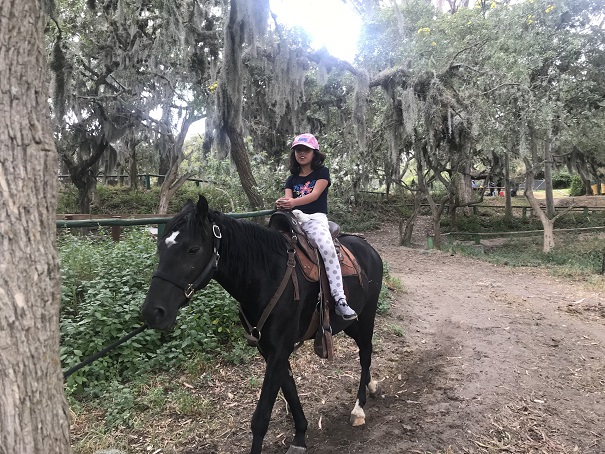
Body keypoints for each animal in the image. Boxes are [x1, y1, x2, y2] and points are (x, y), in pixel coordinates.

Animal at [141, 196, 383, 454]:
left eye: (193, 249)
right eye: (161, 248)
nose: (152, 312)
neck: (267, 276)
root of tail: (368, 248)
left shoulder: (279, 349)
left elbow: (261, 417)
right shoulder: (269, 349)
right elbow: (289, 388)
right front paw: (300, 435)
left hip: (365, 317)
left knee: (365, 353)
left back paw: (359, 408)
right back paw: (371, 387)